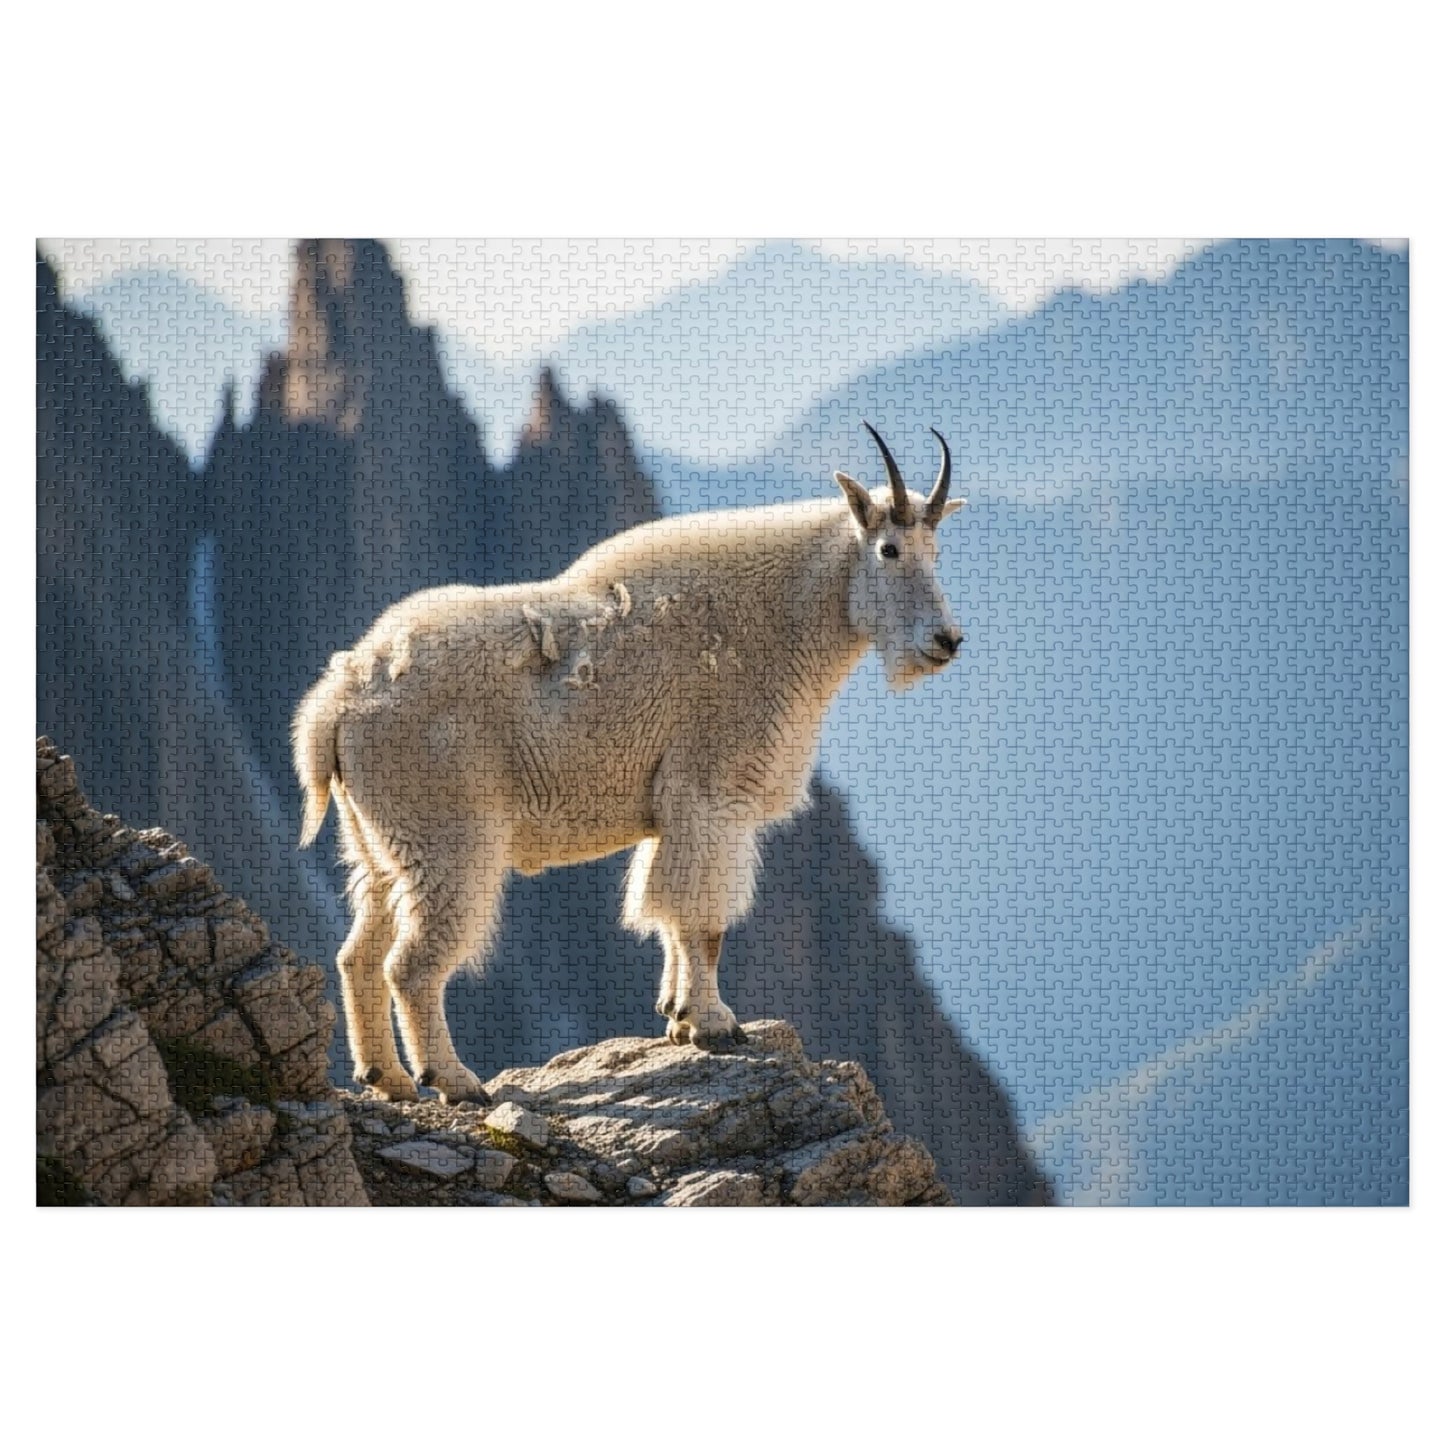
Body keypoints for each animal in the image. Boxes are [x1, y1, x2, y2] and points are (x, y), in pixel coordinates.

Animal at [293, 424, 967, 1102]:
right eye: (888, 549)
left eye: (936, 550)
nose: (947, 641)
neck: (783, 620)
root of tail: (334, 705)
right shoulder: (712, 792)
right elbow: (702, 918)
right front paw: (714, 1023)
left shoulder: (674, 809)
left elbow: (666, 910)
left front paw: (676, 1015)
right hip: (445, 839)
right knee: (412, 963)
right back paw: (454, 1080)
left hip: (379, 844)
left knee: (358, 952)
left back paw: (386, 1077)